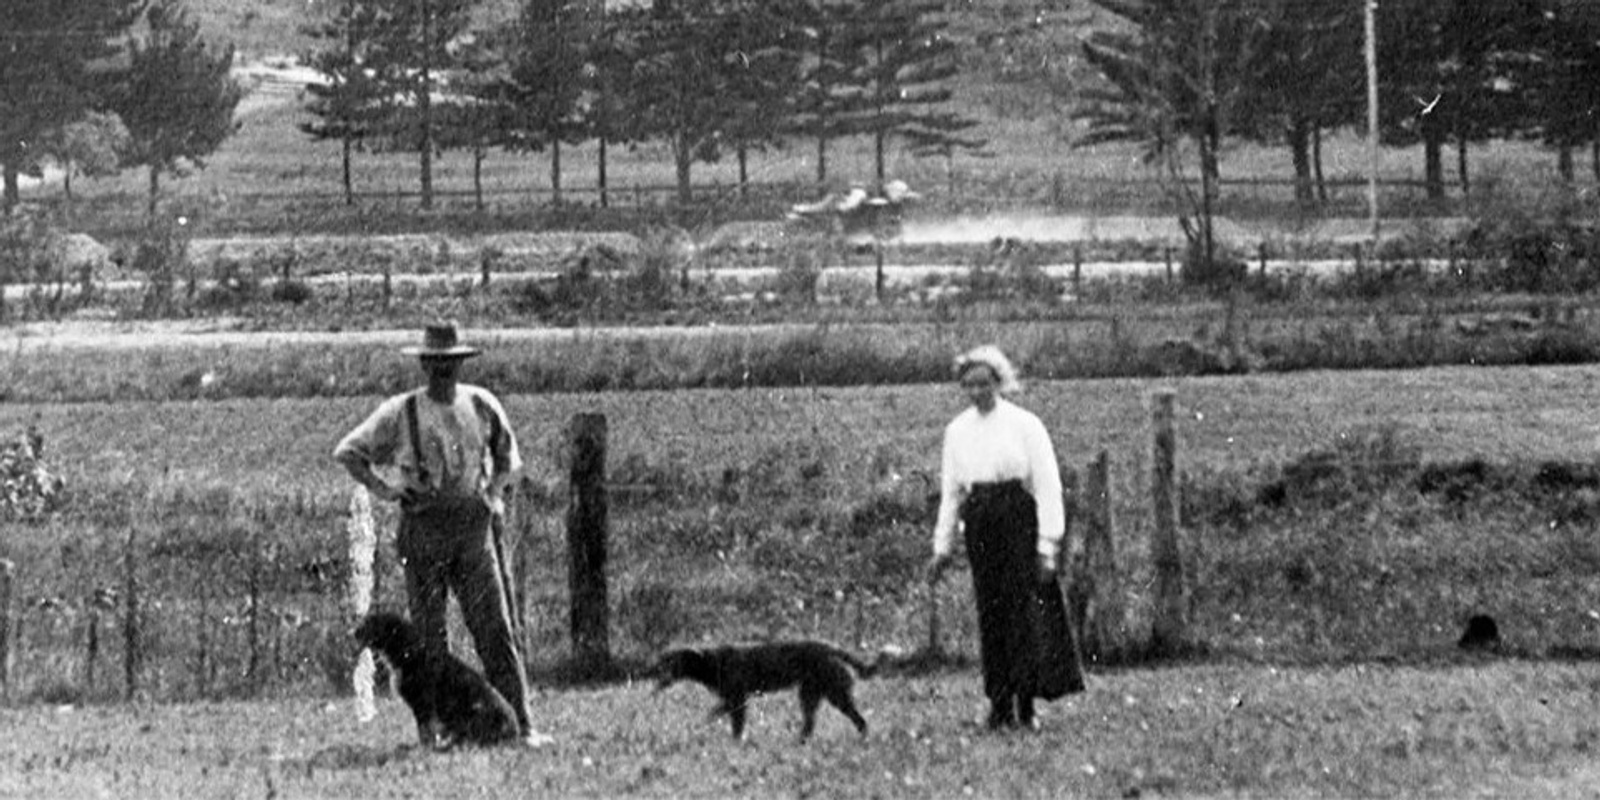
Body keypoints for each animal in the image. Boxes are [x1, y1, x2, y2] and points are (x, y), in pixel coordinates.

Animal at [355, 611, 518, 748]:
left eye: (370, 622)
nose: (354, 632)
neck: (408, 651)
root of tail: (516, 731)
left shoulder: (423, 703)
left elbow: (426, 730)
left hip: (475, 710)